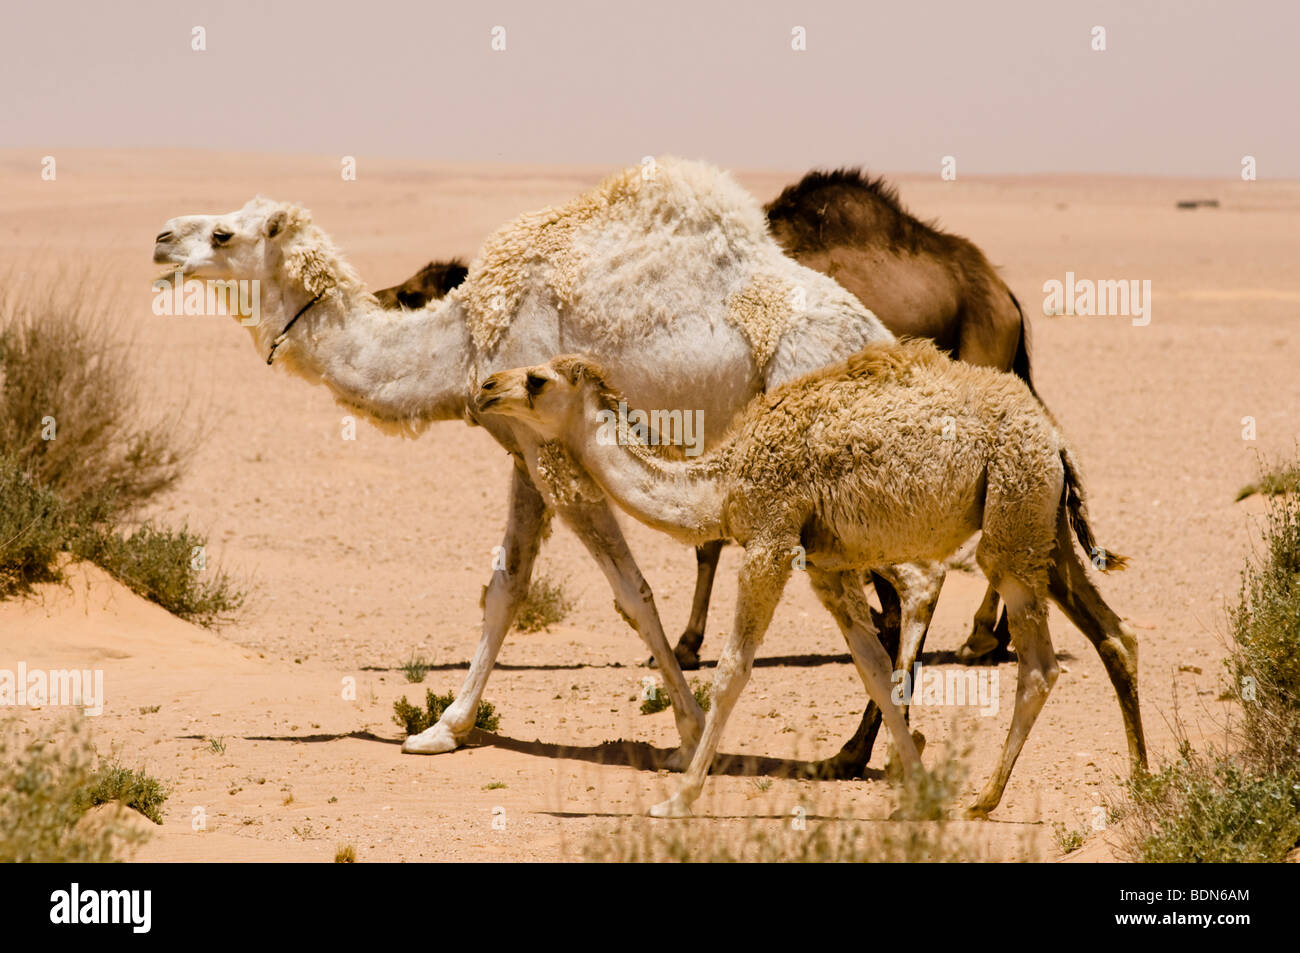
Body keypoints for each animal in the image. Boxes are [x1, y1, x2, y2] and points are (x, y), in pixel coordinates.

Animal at [473, 338, 1144, 816]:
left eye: (537, 381)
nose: (484, 387)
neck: (723, 483)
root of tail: (1055, 439)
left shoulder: (771, 540)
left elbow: (733, 670)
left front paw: (678, 798)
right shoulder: (827, 566)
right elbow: (874, 671)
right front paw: (919, 787)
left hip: (1012, 525)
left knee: (1041, 665)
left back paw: (985, 800)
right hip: (1043, 530)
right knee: (1116, 636)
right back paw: (1142, 778)